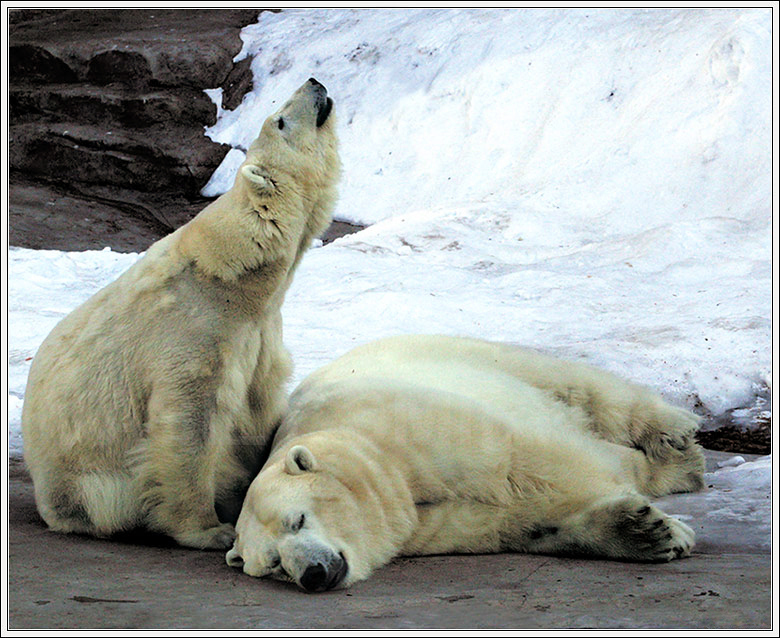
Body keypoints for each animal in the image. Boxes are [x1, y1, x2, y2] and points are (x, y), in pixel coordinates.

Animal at [22, 79, 340, 552]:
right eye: (281, 119)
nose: (316, 83)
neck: (238, 277)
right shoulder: (197, 328)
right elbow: (189, 422)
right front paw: (210, 529)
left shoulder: (260, 334)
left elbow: (260, 408)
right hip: (88, 480)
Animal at [227, 338, 708, 592]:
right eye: (273, 563)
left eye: (297, 519)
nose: (312, 574)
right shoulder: (430, 526)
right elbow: (514, 523)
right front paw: (644, 533)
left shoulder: (416, 426)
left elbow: (535, 461)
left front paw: (665, 524)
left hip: (466, 355)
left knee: (583, 388)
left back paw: (677, 447)